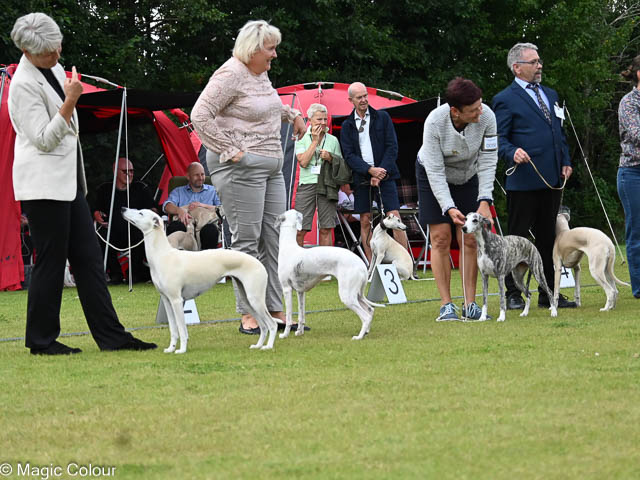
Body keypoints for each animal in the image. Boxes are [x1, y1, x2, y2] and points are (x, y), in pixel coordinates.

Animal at [122, 207, 277, 353]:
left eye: (141, 213)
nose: (123, 209)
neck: (162, 254)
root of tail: (259, 263)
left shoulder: (176, 300)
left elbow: (181, 329)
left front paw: (181, 350)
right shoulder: (166, 300)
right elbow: (173, 329)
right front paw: (171, 348)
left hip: (255, 299)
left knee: (272, 324)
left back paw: (268, 346)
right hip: (247, 300)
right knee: (263, 326)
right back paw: (258, 345)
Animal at [276, 209, 384, 340]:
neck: (289, 247)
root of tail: (362, 264)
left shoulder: (286, 289)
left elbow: (288, 316)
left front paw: (285, 334)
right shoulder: (300, 292)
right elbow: (301, 314)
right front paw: (299, 332)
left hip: (347, 295)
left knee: (366, 316)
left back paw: (359, 337)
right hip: (356, 294)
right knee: (370, 310)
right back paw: (366, 331)